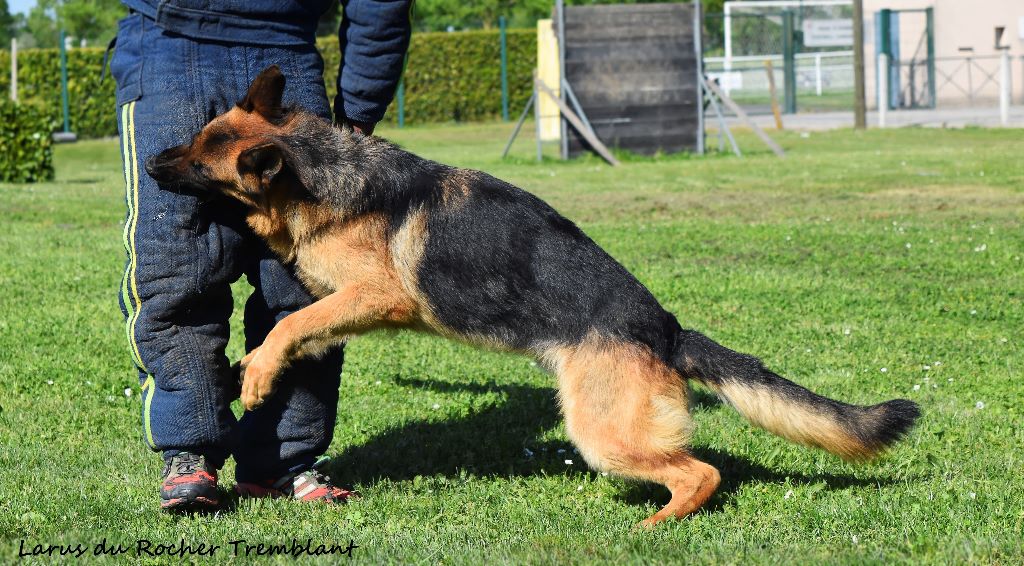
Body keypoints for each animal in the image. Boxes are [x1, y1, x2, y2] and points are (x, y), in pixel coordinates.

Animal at [144, 66, 921, 524]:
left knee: (700, 472)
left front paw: (258, 373)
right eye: (195, 137)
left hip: (603, 433)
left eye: (200, 160)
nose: (149, 160)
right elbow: (303, 322)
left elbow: (289, 324)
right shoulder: (338, 299)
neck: (317, 171)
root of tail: (665, 328)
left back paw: (659, 524)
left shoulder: (380, 296)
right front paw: (256, 370)